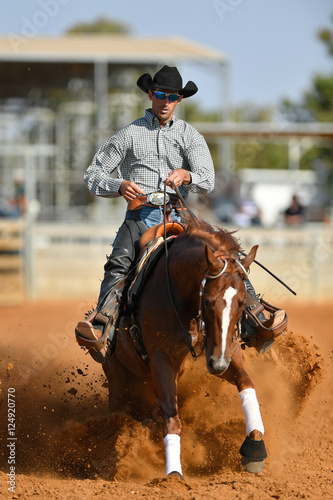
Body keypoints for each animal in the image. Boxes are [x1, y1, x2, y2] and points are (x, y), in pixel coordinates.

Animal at [102, 221, 266, 478]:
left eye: (241, 302)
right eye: (208, 300)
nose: (218, 364)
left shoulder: (226, 349)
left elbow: (246, 382)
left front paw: (255, 447)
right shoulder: (161, 360)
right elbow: (172, 418)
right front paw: (173, 474)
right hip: (118, 382)